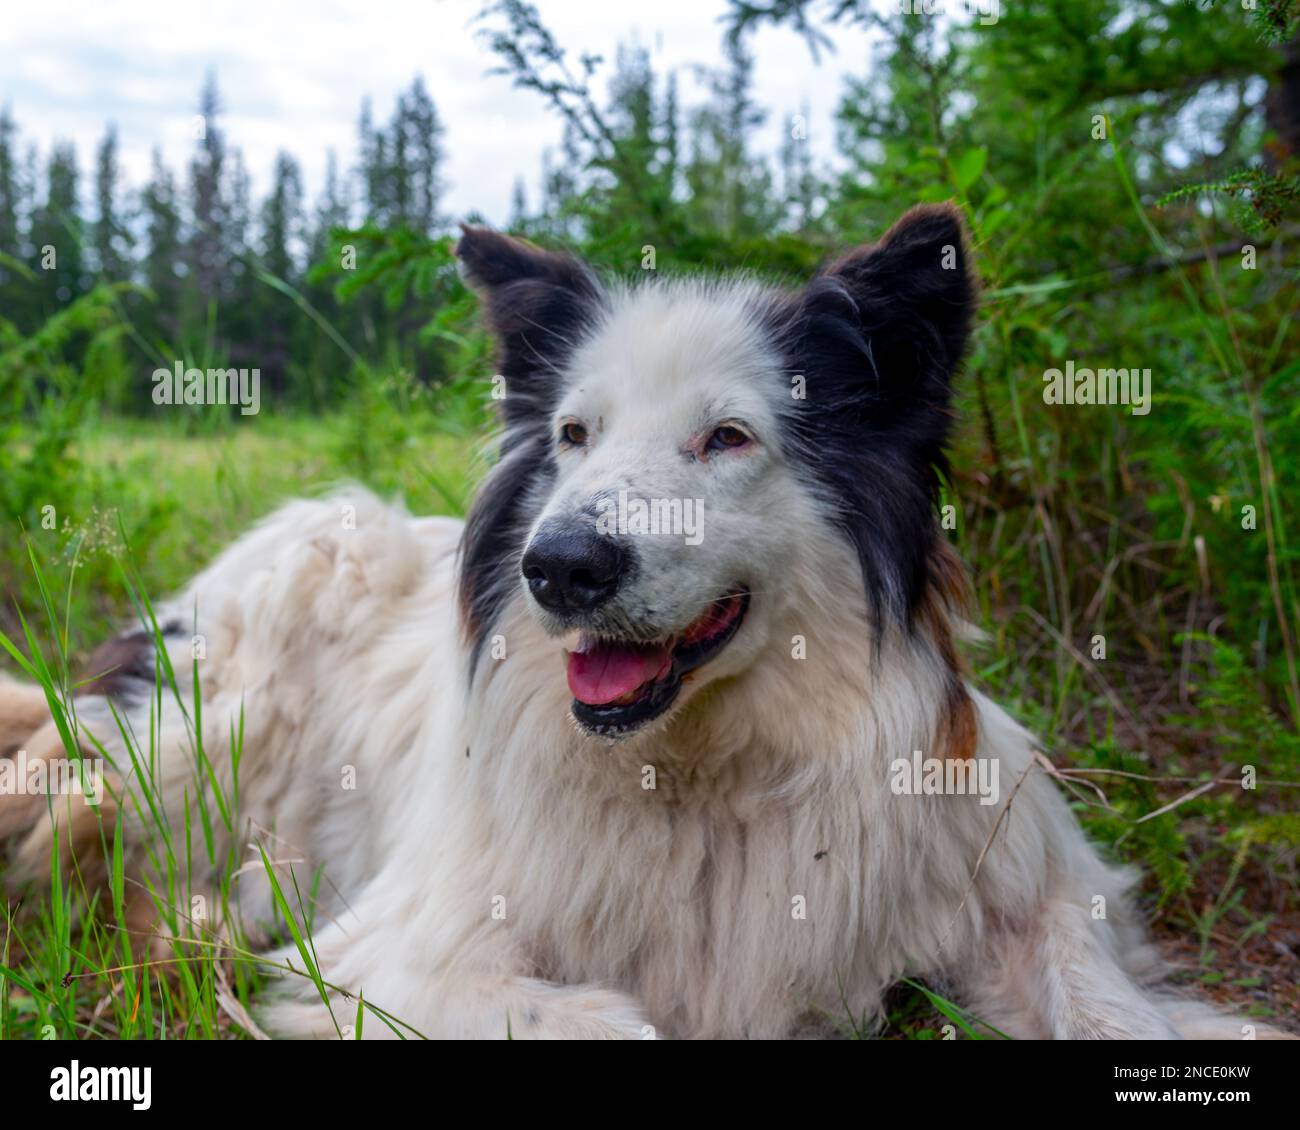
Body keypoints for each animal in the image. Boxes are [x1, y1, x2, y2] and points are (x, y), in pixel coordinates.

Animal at [0, 205, 1279, 1040]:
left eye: (726, 436)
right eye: (572, 435)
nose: (557, 566)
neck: (705, 773)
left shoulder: (1039, 886)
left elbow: (1105, 1000)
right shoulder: (403, 952)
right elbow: (612, 1019)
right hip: (242, 677)